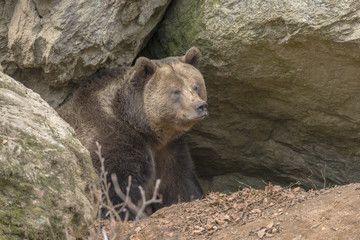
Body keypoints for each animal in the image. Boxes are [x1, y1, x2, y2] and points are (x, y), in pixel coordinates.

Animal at [57, 47, 207, 219]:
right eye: (176, 91)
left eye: (195, 86)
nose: (200, 106)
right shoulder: (113, 138)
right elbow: (117, 184)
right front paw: (123, 212)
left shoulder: (168, 149)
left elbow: (178, 179)